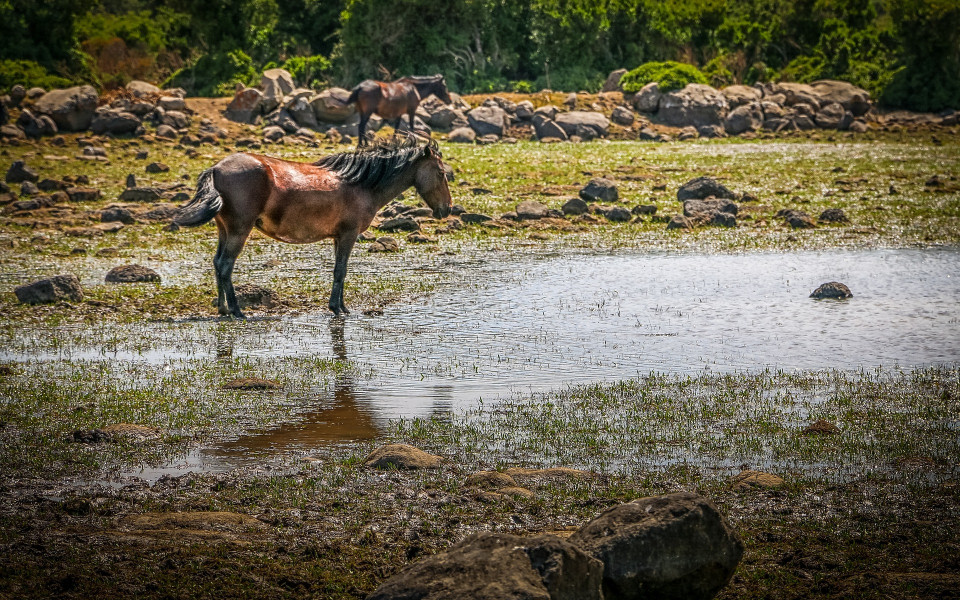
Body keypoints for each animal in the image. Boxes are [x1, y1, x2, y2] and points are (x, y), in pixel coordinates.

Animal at [172, 136, 452, 318]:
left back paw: (222, 308)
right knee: (226, 265)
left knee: (217, 263)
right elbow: (341, 271)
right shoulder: (349, 235)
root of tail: (216, 168)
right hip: (240, 230)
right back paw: (237, 310)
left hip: (224, 229)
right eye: (441, 173)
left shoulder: (339, 237)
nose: (447, 209)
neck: (361, 184)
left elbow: (340, 272)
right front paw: (337, 309)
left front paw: (340, 306)